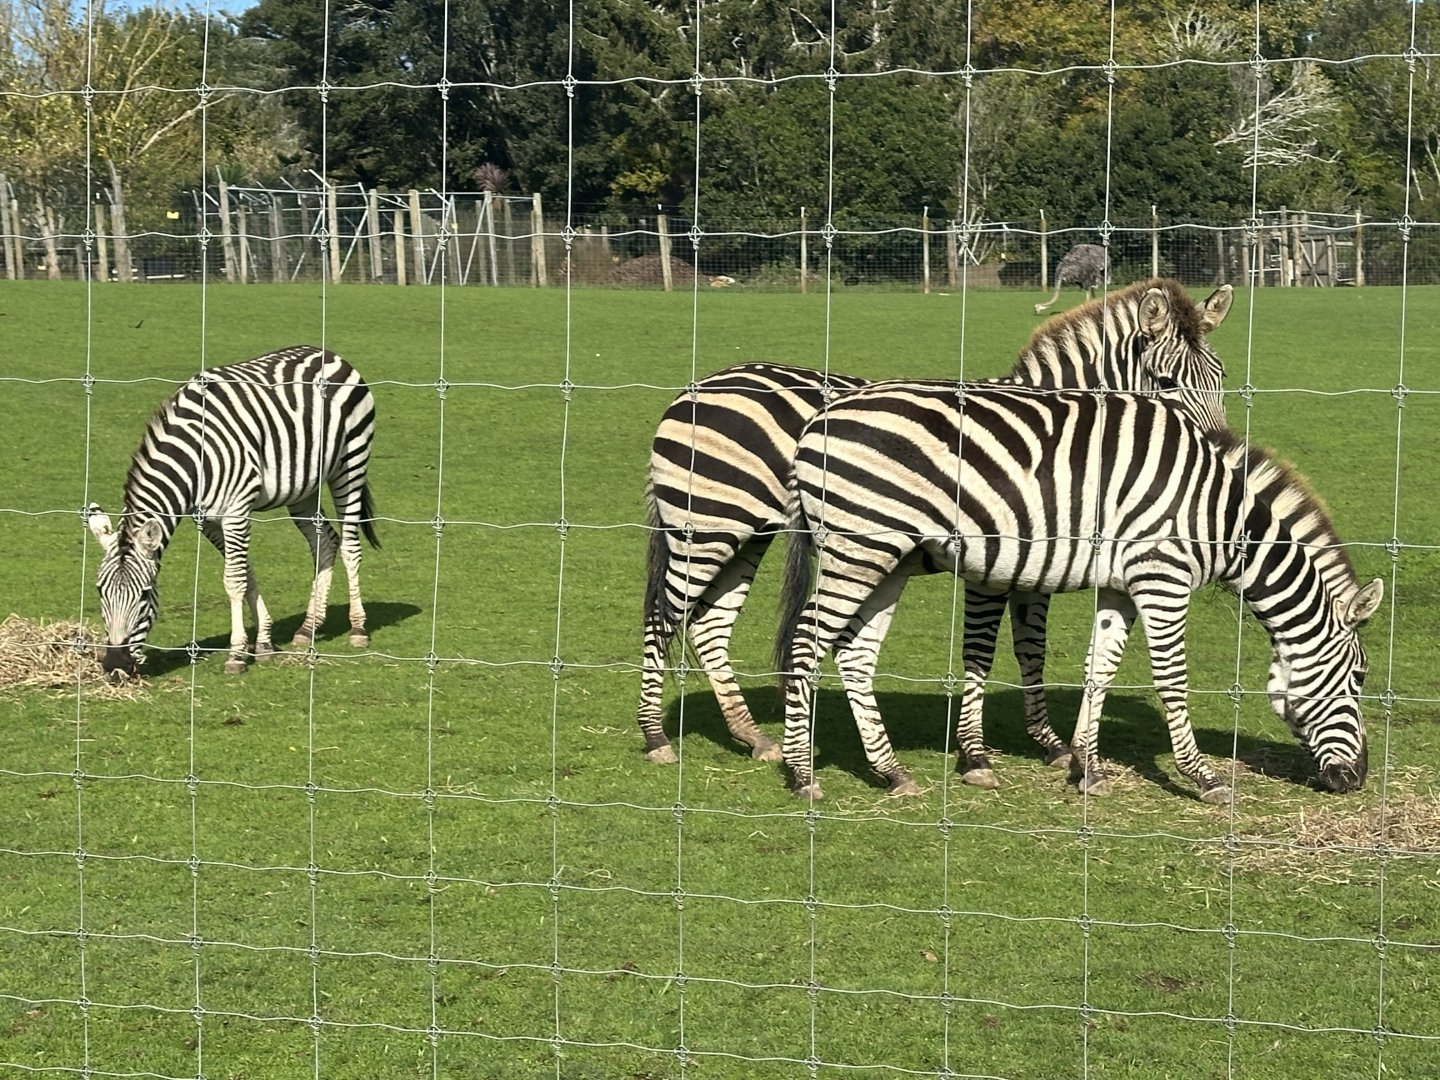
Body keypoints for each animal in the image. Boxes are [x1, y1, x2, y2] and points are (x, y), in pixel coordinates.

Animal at [85, 345, 380, 679]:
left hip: (350, 463)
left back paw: (358, 628)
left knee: (351, 545)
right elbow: (245, 573)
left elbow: (234, 580)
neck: (195, 459)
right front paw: (264, 642)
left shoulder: (236, 512)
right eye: (100, 592)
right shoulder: (208, 520)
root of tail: (327, 353)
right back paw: (308, 628)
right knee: (326, 542)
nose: (115, 666)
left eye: (146, 594)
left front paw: (237, 653)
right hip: (303, 487)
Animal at [637, 278, 1234, 769]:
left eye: (1221, 379)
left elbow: (1031, 647)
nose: (1221, 455)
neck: (1059, 434)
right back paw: (656, 738)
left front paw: (1050, 744)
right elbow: (981, 650)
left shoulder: (1040, 558)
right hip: (708, 526)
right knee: (664, 615)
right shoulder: (994, 559)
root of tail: (697, 388)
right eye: (1167, 384)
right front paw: (975, 755)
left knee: (708, 624)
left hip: (746, 532)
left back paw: (751, 736)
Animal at [775, 385, 1382, 803]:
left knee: (855, 653)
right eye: (1358, 677)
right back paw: (801, 772)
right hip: (861, 545)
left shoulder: (1121, 586)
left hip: (889, 557)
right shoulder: (1162, 577)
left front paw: (1085, 767)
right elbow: (1173, 681)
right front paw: (1204, 777)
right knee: (806, 643)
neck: (1221, 518)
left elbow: (1101, 669)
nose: (1357, 779)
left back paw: (891, 771)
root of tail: (816, 422)